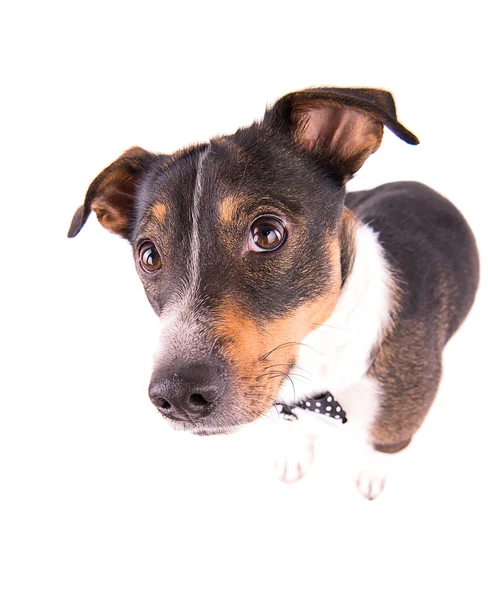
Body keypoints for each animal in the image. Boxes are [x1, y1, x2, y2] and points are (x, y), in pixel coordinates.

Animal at [66, 88, 478, 502]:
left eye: (267, 233)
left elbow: (380, 448)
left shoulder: (397, 425)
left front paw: (370, 476)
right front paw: (293, 458)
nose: (177, 396)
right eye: (149, 256)